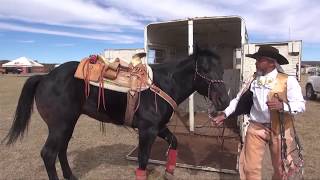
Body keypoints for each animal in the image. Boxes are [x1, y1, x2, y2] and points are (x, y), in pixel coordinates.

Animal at [1, 47, 228, 179]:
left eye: (222, 69)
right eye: (204, 70)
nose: (224, 100)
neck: (163, 84)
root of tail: (45, 77)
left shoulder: (159, 127)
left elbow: (174, 142)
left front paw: (170, 171)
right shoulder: (147, 130)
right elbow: (143, 159)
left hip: (68, 124)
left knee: (61, 150)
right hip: (59, 126)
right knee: (49, 154)